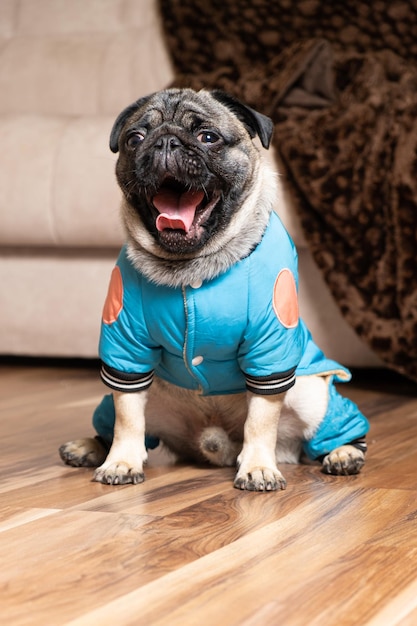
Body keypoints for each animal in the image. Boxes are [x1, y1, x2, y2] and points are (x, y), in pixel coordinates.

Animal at [59, 88, 368, 490]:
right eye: (135, 139)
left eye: (208, 137)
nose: (165, 141)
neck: (192, 267)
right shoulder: (126, 350)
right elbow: (128, 417)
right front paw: (122, 461)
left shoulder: (269, 352)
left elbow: (260, 420)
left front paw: (257, 467)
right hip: (113, 402)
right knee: (117, 421)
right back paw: (90, 447)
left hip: (311, 394)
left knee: (329, 429)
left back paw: (343, 452)